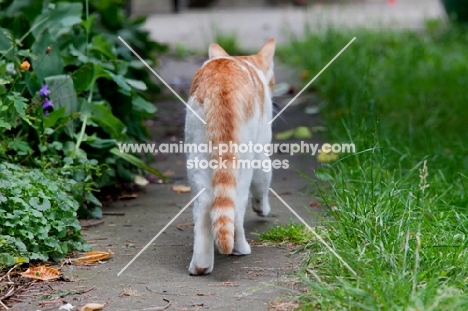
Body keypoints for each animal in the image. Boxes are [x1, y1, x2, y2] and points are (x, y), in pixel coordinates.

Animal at [185, 38, 276, 276]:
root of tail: (221, 83)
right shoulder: (262, 152)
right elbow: (263, 184)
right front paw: (262, 209)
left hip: (196, 158)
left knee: (205, 206)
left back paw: (200, 266)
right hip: (243, 162)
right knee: (235, 207)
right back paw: (240, 248)